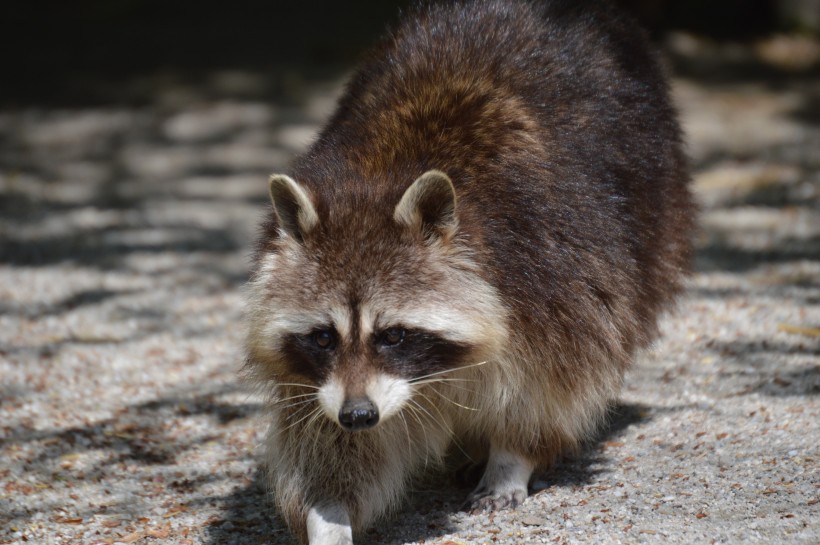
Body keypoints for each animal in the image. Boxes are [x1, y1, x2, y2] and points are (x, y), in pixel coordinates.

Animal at [243, 2, 692, 540]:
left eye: (393, 335)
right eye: (324, 336)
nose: (358, 414)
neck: (380, 179)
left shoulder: (552, 278)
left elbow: (550, 387)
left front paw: (511, 459)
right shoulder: (316, 381)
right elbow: (330, 447)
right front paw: (327, 518)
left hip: (653, 201)